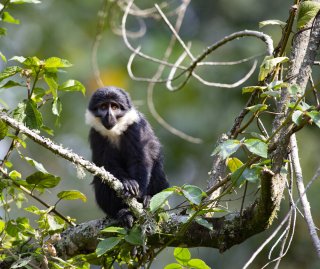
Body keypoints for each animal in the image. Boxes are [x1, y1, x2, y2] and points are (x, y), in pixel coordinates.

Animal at [85, 86, 170, 226]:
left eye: (114, 107)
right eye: (103, 107)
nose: (109, 115)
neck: (115, 131)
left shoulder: (136, 127)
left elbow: (139, 159)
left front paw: (137, 192)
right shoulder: (96, 134)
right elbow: (107, 164)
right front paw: (128, 182)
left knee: (157, 170)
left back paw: (147, 199)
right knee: (100, 181)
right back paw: (123, 212)